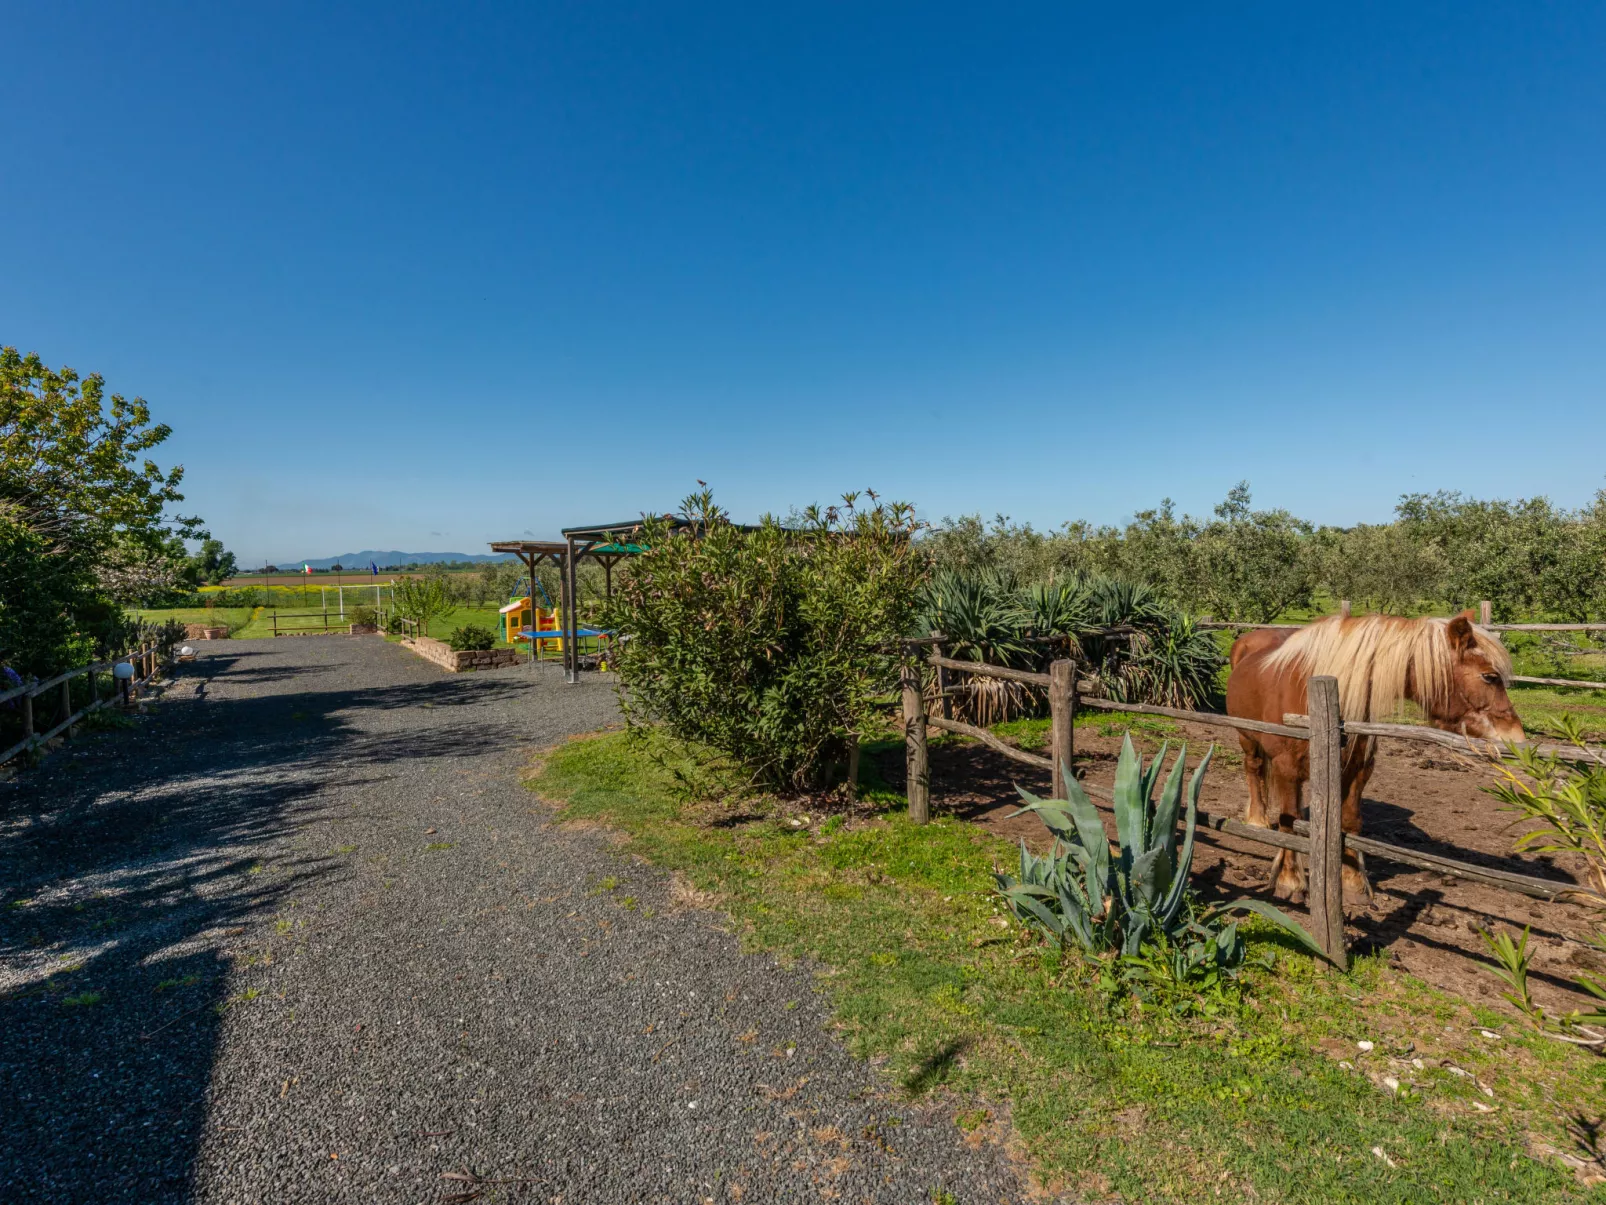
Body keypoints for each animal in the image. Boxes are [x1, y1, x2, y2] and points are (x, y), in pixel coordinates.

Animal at [1226, 613, 1516, 906]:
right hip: (1246, 738)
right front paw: (1290, 882)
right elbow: (1288, 823)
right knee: (1254, 769)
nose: (1515, 735)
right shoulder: (1287, 770)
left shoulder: (1358, 769)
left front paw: (1354, 883)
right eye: (1490, 677)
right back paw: (1257, 819)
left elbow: (1350, 820)